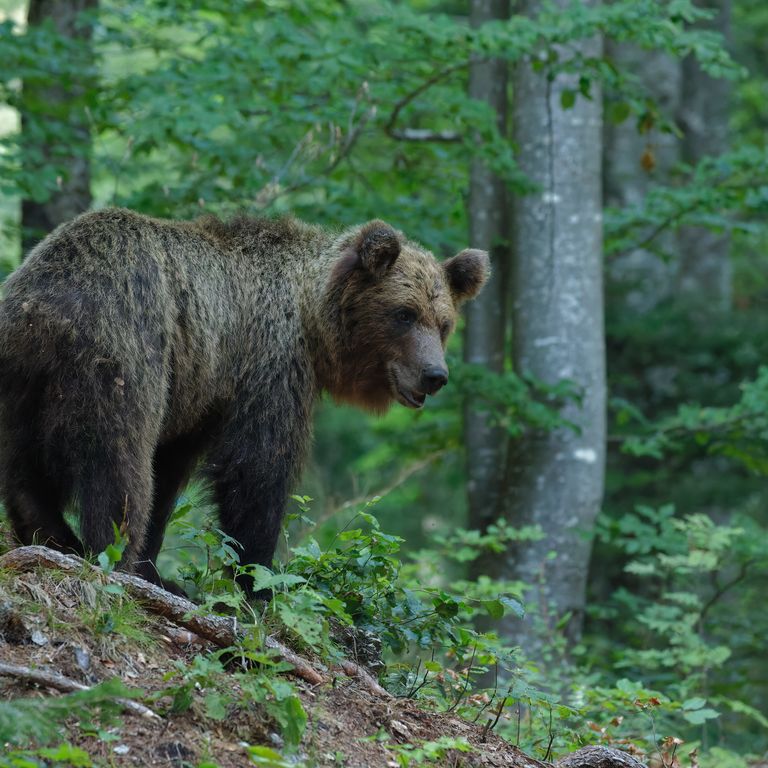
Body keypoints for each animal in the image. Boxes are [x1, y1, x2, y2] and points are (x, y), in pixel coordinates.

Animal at [0, 208, 488, 592]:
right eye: (403, 314)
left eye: (444, 323)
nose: (434, 375)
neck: (312, 318)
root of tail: (43, 304)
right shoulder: (269, 362)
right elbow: (257, 468)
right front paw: (259, 581)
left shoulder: (199, 395)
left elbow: (169, 471)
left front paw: (157, 570)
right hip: (123, 349)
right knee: (118, 462)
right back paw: (109, 554)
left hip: (23, 377)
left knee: (23, 467)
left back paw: (54, 537)